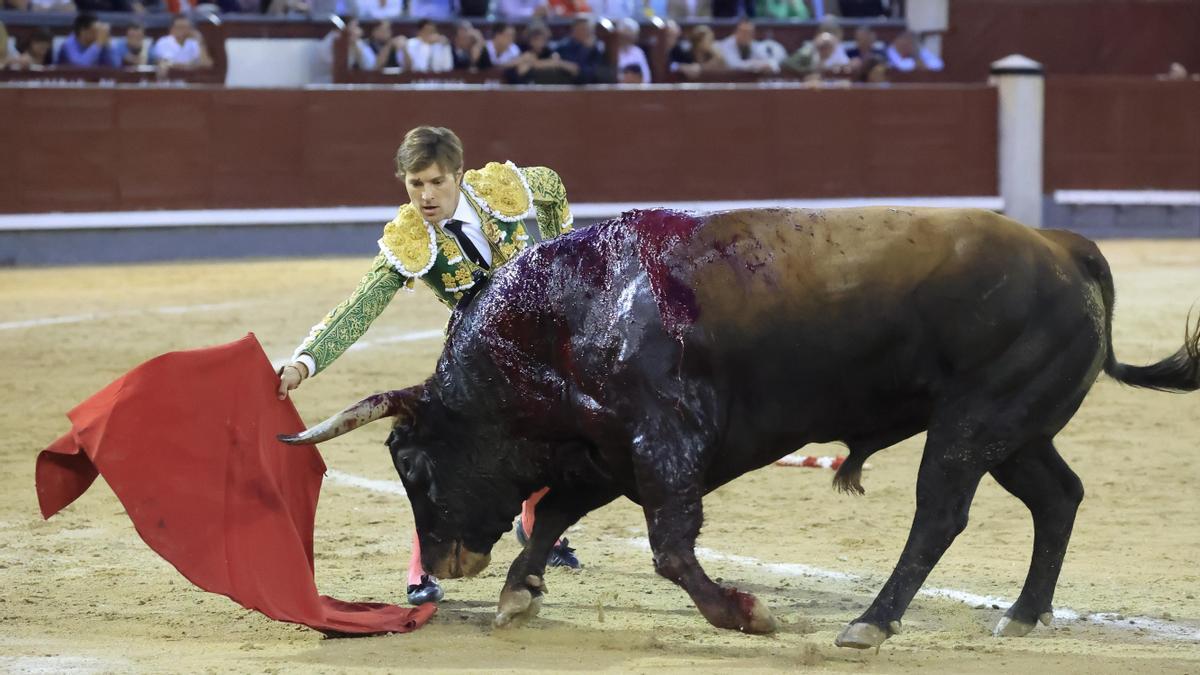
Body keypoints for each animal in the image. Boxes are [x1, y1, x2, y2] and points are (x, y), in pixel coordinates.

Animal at [276, 206, 1195, 648]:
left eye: (412, 463)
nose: (442, 565)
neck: (563, 317)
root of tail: (1064, 247)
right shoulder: (604, 452)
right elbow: (559, 513)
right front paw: (517, 594)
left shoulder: (666, 445)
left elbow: (669, 548)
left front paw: (748, 613)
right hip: (1018, 428)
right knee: (1059, 496)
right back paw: (1023, 613)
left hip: (972, 423)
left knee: (941, 512)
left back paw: (871, 621)